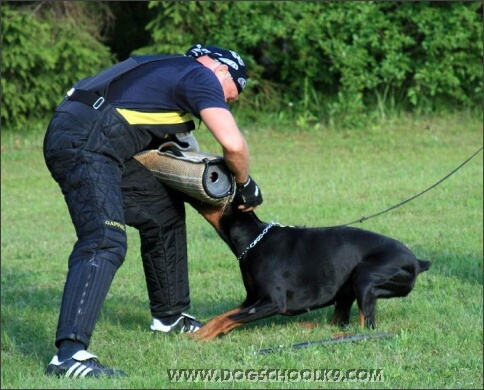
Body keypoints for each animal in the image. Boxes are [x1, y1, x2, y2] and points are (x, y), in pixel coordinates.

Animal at [191, 200, 430, 340]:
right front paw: (197, 332)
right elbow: (222, 317)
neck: (253, 239)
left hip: (365, 276)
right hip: (348, 287)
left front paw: (199, 338)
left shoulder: (272, 301)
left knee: (365, 326)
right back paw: (309, 326)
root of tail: (417, 262)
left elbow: (230, 318)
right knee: (339, 321)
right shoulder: (252, 299)